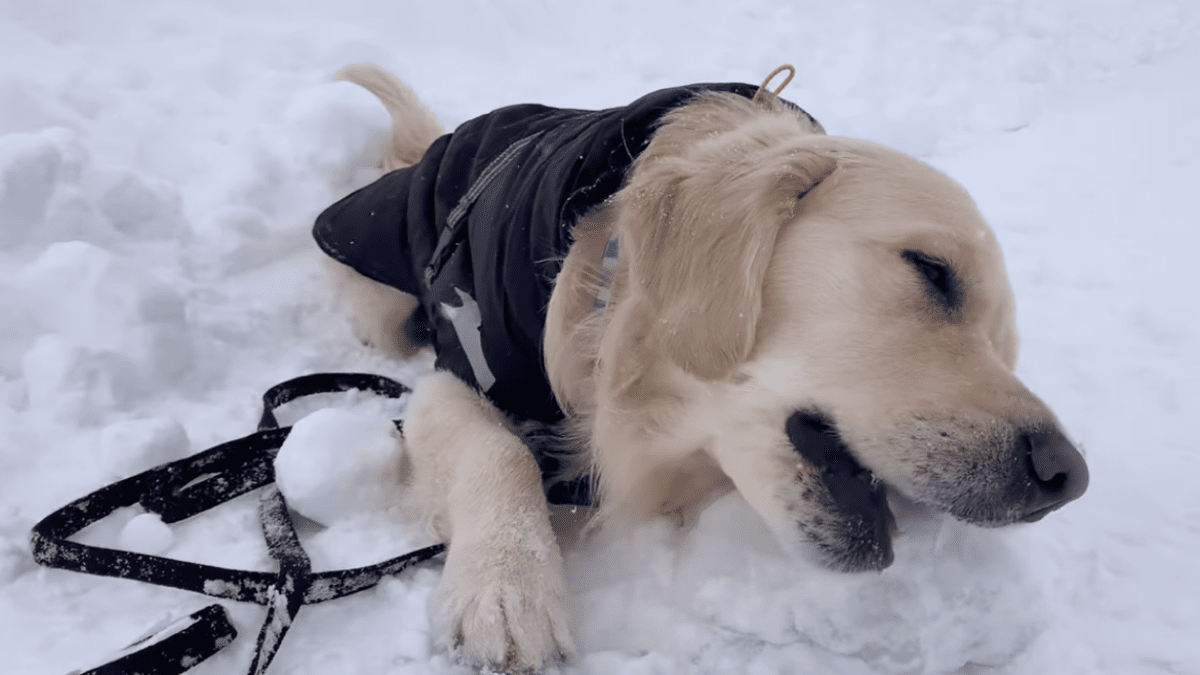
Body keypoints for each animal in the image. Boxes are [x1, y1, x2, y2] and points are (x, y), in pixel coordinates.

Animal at [316, 61, 1089, 667]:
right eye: (931, 270)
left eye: (1006, 348)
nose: (1064, 476)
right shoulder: (454, 377)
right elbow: (494, 447)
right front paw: (508, 587)